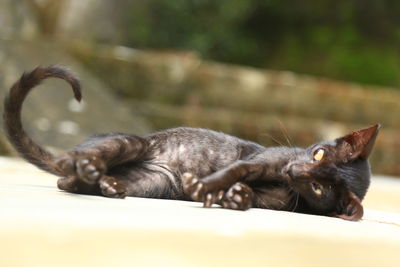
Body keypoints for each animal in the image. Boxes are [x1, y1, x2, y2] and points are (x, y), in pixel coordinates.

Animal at [3, 66, 380, 222]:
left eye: (318, 188)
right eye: (318, 154)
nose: (295, 170)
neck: (282, 180)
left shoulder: (275, 199)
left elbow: (244, 195)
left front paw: (235, 198)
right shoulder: (259, 161)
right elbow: (233, 171)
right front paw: (208, 186)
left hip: (154, 183)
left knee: (69, 181)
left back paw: (108, 184)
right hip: (131, 143)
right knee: (72, 164)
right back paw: (90, 166)